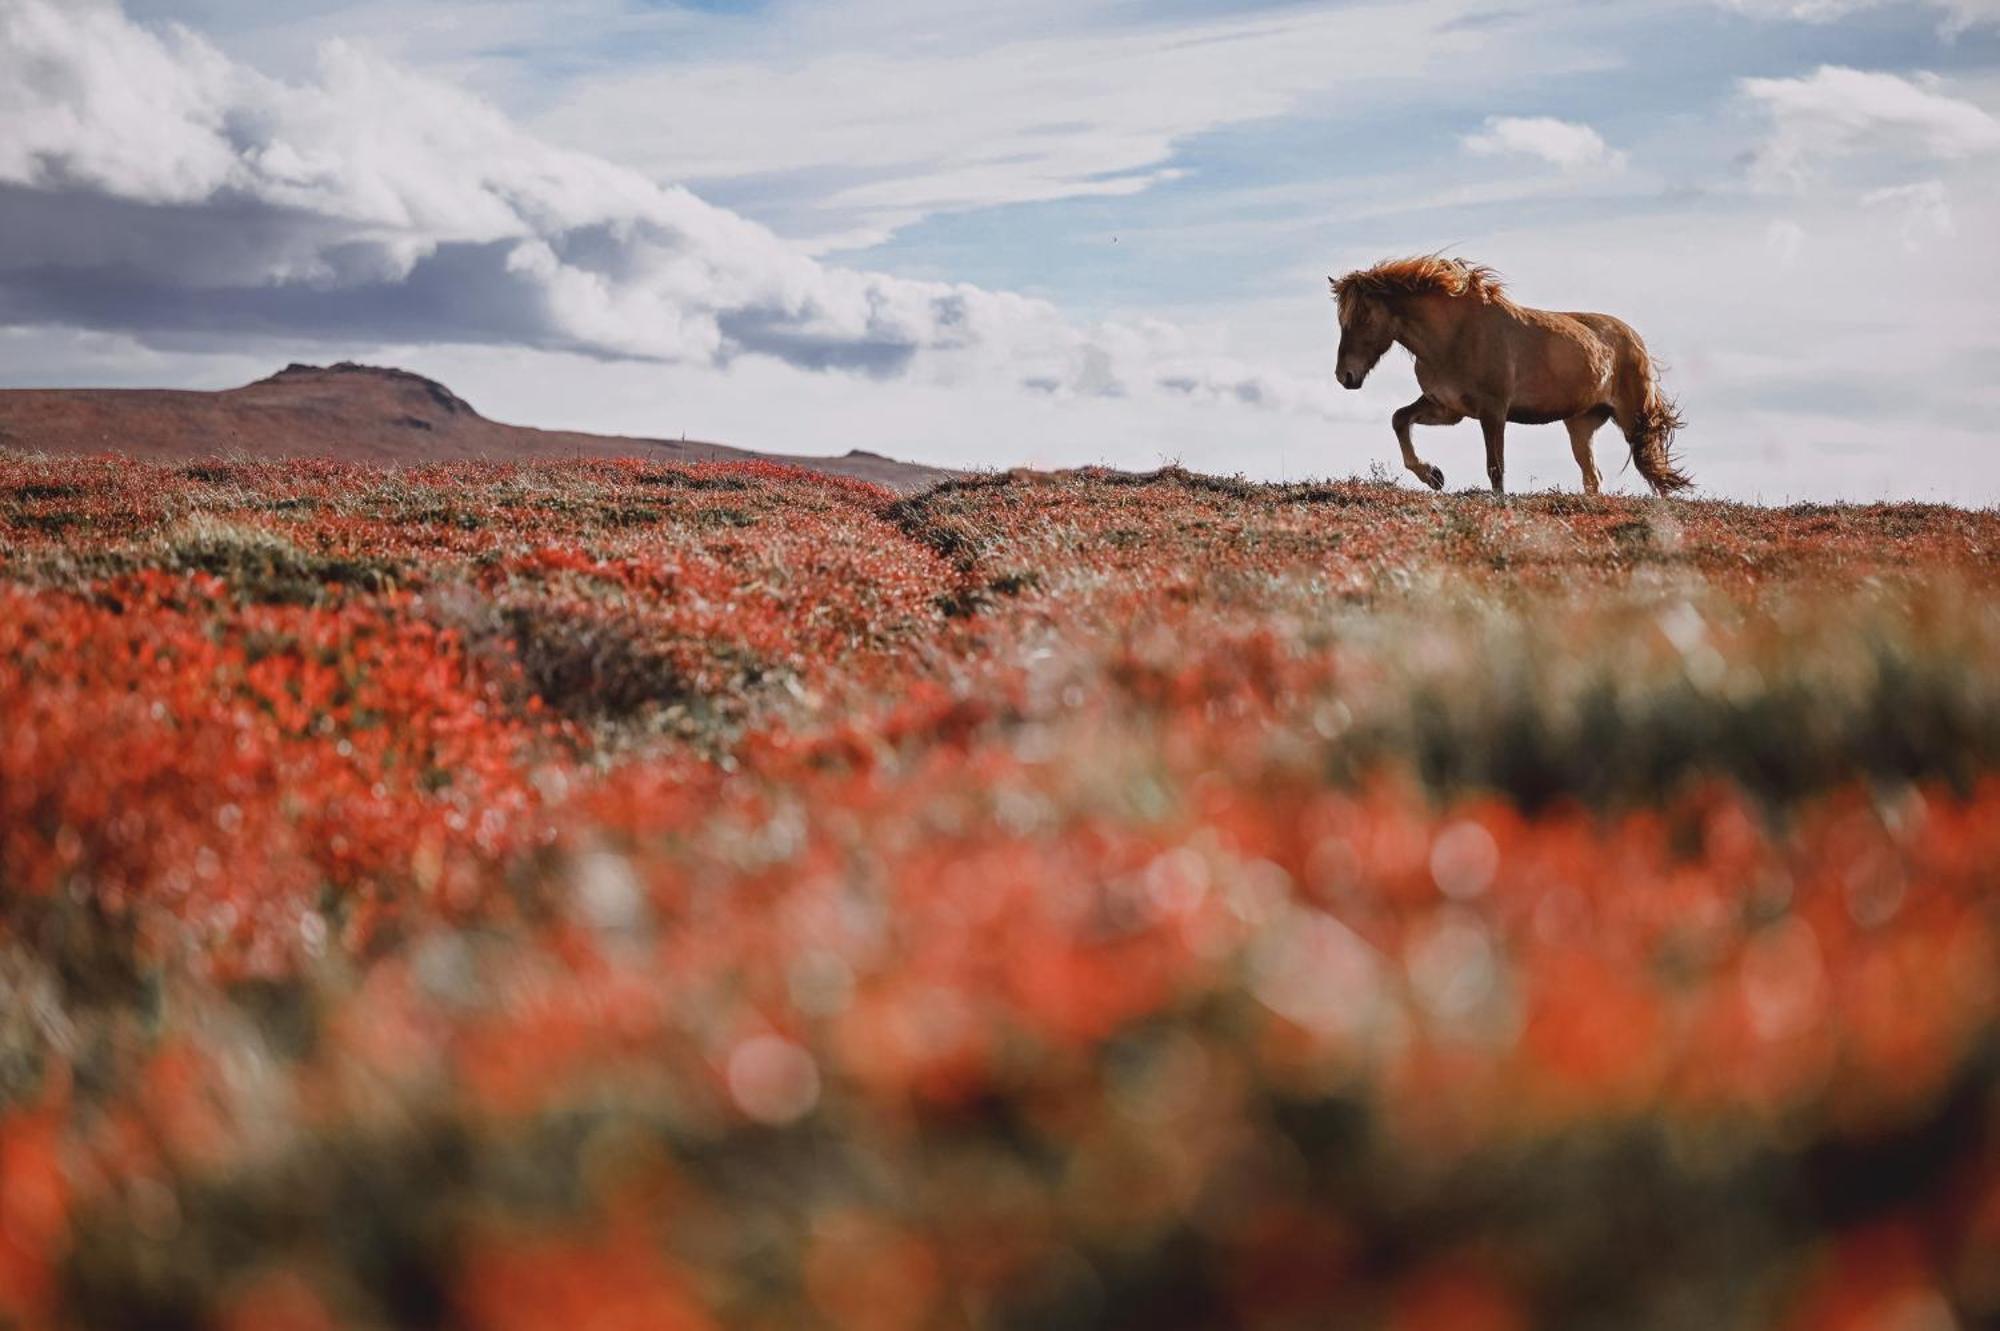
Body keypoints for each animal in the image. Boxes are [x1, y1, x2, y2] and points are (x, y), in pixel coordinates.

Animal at [1328, 253, 1688, 491]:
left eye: (1363, 317)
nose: (1345, 376)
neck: (1454, 334)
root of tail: (1634, 339)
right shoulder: (1446, 408)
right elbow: (1400, 419)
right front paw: (1432, 476)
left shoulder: (1493, 412)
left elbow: (1495, 467)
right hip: (1581, 424)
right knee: (1592, 477)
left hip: (1631, 419)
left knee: (1653, 469)